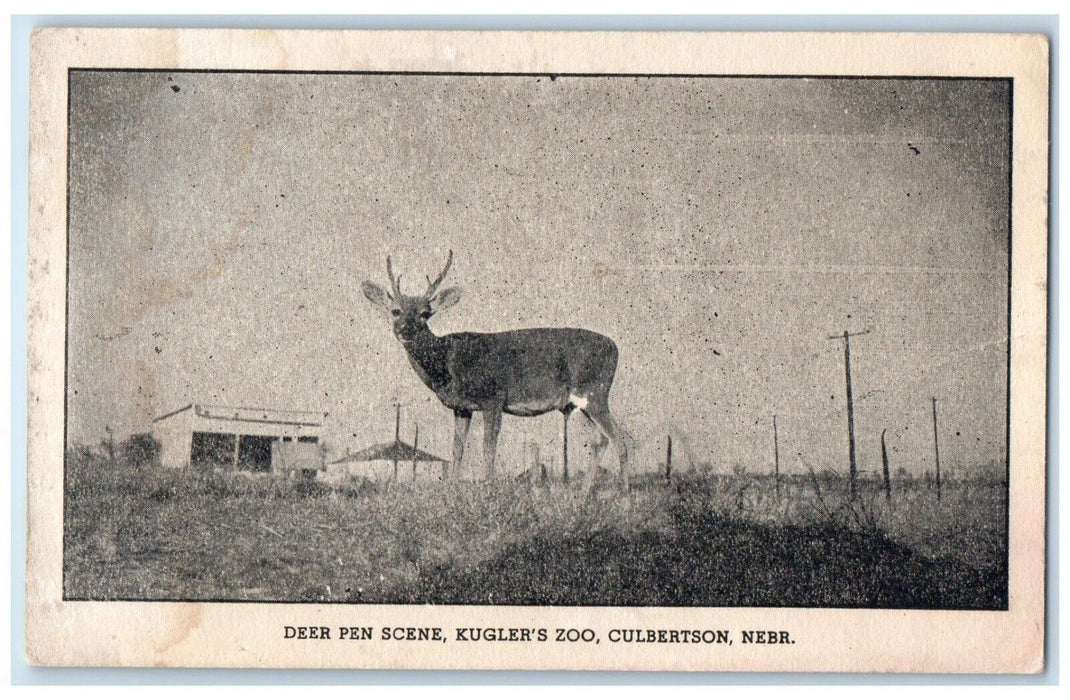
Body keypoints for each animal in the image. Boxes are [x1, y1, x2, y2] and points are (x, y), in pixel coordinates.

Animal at [361, 251, 630, 490]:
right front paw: (451, 490)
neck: (447, 363)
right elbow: (457, 450)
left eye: (425, 314)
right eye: (395, 310)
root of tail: (615, 347)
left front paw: (487, 489)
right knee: (599, 441)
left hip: (595, 392)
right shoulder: (461, 407)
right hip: (578, 403)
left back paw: (623, 497)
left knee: (619, 440)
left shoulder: (493, 398)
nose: (405, 330)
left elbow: (488, 449)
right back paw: (584, 494)